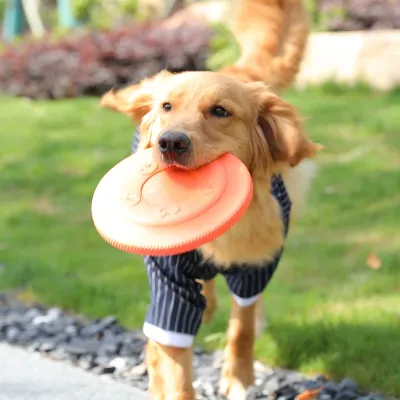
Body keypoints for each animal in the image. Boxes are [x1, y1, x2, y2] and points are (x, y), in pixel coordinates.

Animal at [100, 0, 322, 400]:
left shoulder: (255, 266)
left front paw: (238, 377)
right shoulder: (169, 284)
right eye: (167, 107)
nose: (170, 142)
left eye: (220, 111)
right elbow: (174, 363)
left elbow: (242, 325)